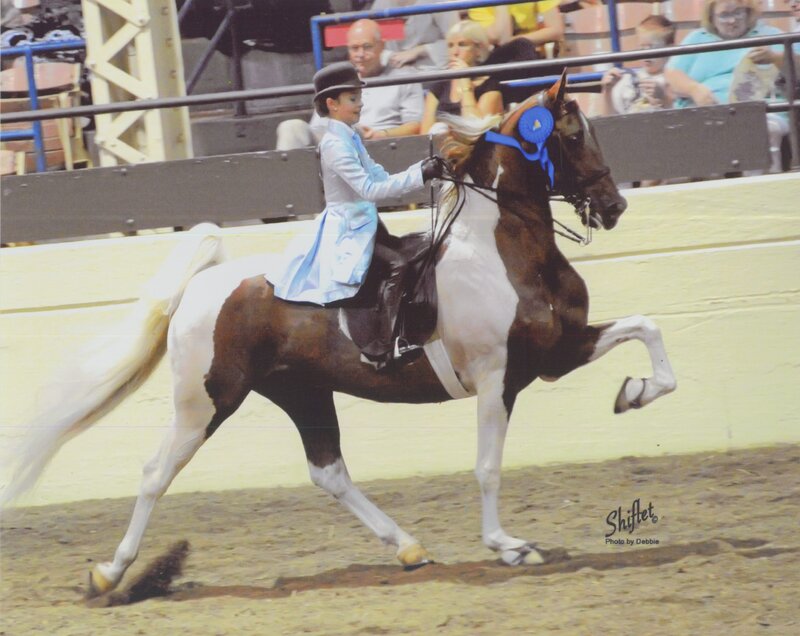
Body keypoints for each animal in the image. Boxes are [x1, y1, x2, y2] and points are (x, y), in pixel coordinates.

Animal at [1, 71, 676, 597]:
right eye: (571, 133)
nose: (614, 206)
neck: (502, 252)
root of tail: (202, 286)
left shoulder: (558, 352)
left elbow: (649, 331)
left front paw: (634, 393)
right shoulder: (495, 378)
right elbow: (487, 466)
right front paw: (508, 546)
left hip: (301, 391)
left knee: (327, 471)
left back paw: (408, 548)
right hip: (206, 401)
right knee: (155, 473)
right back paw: (108, 575)